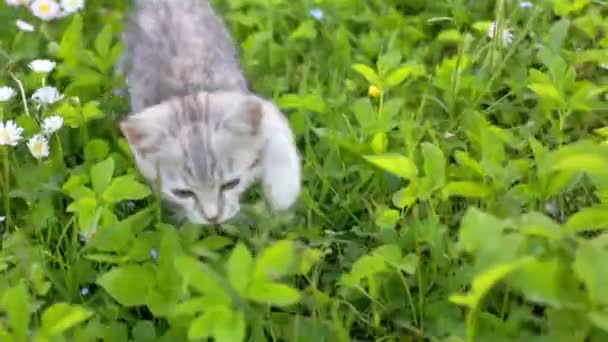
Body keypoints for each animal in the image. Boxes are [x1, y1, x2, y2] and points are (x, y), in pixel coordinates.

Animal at [114, 0, 302, 224]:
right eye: (182, 193)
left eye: (232, 183)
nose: (212, 217)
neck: (189, 90)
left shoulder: (249, 100)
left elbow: (277, 133)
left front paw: (281, 196)